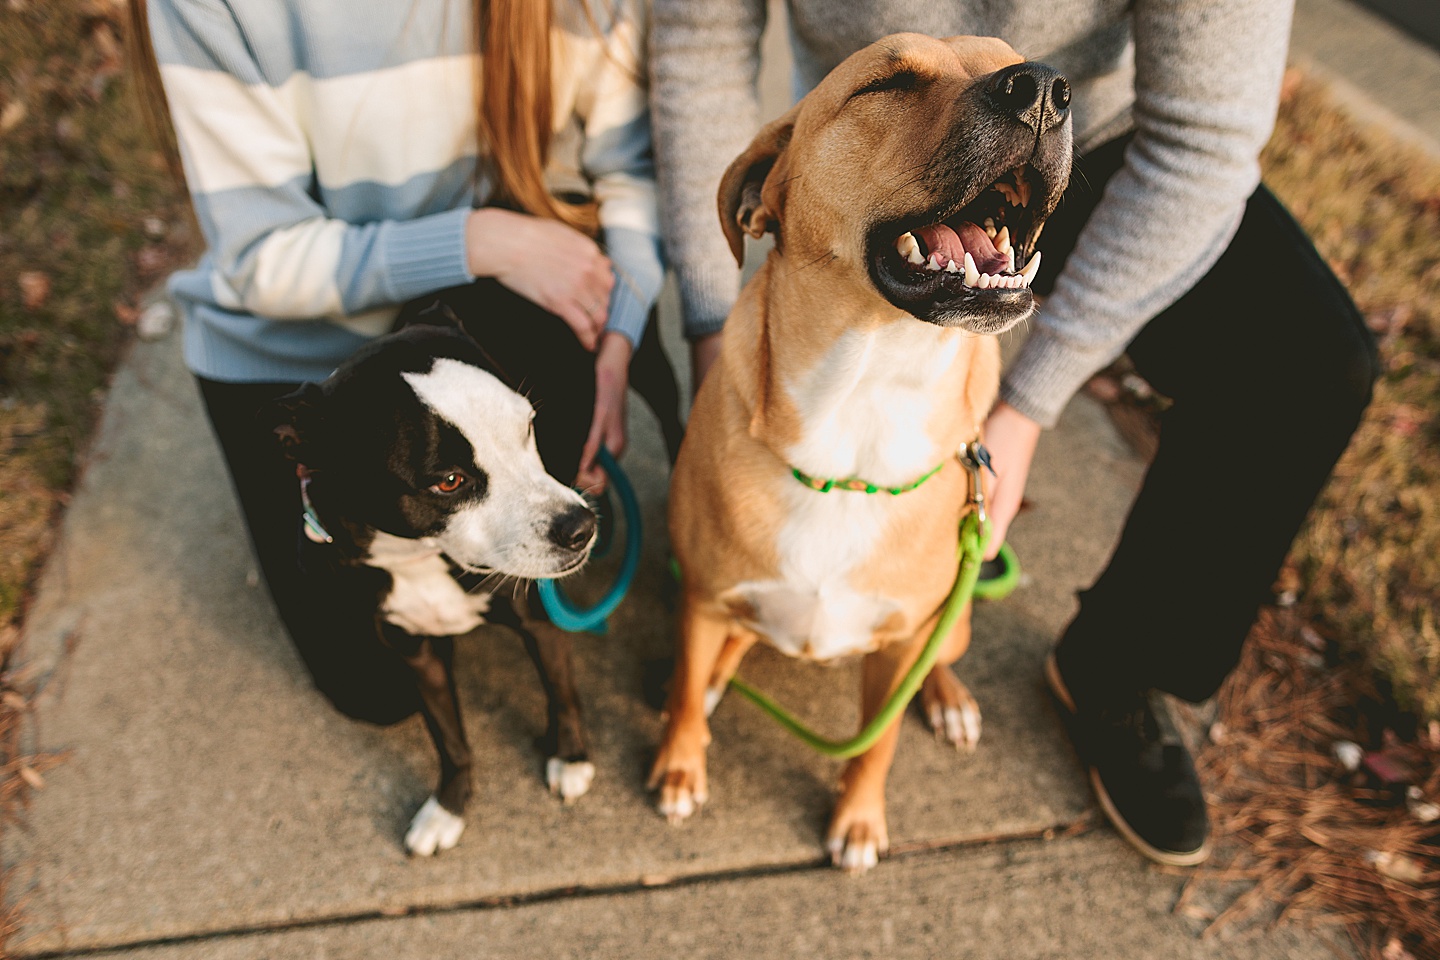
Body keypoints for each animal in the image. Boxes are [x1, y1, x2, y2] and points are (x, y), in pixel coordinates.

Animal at [266, 319, 601, 857]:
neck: (415, 557)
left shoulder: (536, 619)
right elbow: (450, 739)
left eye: (527, 427)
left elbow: (560, 688)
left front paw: (569, 756)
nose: (579, 527)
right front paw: (449, 806)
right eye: (449, 481)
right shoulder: (416, 655)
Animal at [650, 35, 1071, 869]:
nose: (1043, 90)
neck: (863, 406)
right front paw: (680, 763)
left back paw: (948, 701)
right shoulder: (703, 597)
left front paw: (858, 819)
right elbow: (683, 694)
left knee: (942, 656)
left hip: (947, 622)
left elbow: (876, 745)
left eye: (1013, 58)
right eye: (888, 82)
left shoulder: (902, 643)